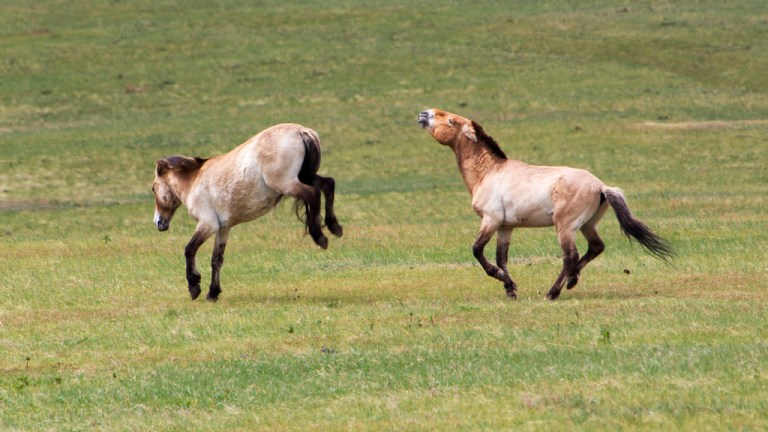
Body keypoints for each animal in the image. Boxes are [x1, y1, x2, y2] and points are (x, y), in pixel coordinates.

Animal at [152, 123, 343, 301]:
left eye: (153, 188)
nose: (158, 222)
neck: (193, 181)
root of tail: (301, 131)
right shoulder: (223, 228)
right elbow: (216, 260)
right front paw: (213, 293)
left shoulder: (208, 224)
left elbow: (189, 249)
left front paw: (194, 286)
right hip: (305, 176)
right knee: (328, 184)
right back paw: (335, 227)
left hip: (288, 183)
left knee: (314, 194)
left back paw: (320, 237)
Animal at [417, 109, 673, 300]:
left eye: (450, 119)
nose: (423, 113)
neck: (489, 172)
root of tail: (601, 186)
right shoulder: (505, 227)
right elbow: (502, 258)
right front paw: (510, 289)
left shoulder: (490, 220)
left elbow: (478, 250)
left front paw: (499, 277)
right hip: (587, 225)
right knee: (595, 247)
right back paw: (572, 280)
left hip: (565, 227)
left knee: (570, 256)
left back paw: (553, 292)